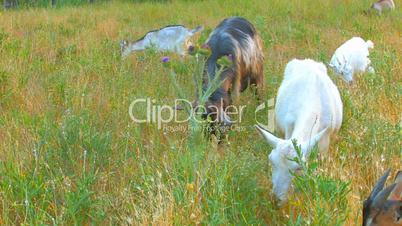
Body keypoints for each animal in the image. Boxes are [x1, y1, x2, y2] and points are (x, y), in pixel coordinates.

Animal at [256, 58, 340, 203]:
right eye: (271, 161)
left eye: (299, 167)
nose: (275, 199)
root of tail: (308, 61)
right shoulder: (288, 127)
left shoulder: (324, 143)